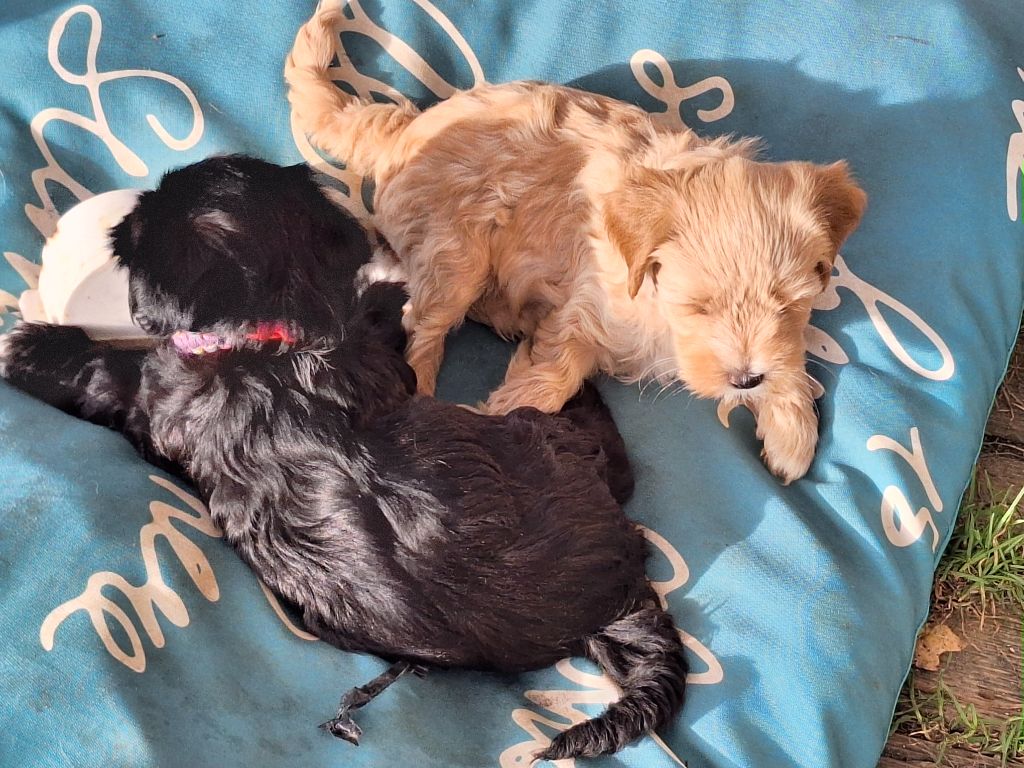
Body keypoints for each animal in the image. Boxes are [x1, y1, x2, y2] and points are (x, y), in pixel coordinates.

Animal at [0, 155, 688, 762]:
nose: (130, 211)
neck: (271, 338)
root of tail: (616, 596)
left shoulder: (163, 396)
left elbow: (109, 374)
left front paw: (32, 348)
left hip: (545, 442)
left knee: (612, 456)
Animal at [285, 2, 868, 483]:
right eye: (697, 307)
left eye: (789, 307)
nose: (744, 380)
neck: (650, 298)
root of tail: (404, 128)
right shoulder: (585, 307)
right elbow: (553, 378)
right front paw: (499, 417)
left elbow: (790, 359)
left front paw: (792, 430)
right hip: (455, 253)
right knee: (422, 330)